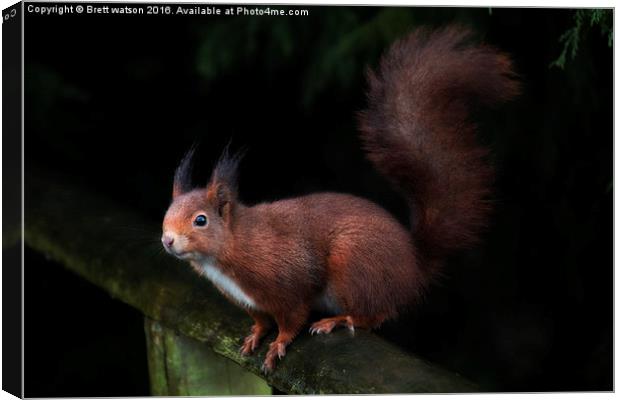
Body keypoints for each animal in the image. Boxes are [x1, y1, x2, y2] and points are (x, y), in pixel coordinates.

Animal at [161, 26, 520, 374]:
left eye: (201, 220)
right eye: (167, 213)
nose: (167, 240)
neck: (233, 247)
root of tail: (413, 265)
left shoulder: (290, 281)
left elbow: (292, 319)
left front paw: (278, 345)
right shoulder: (250, 302)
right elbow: (261, 321)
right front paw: (256, 336)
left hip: (354, 267)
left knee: (374, 316)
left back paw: (339, 320)